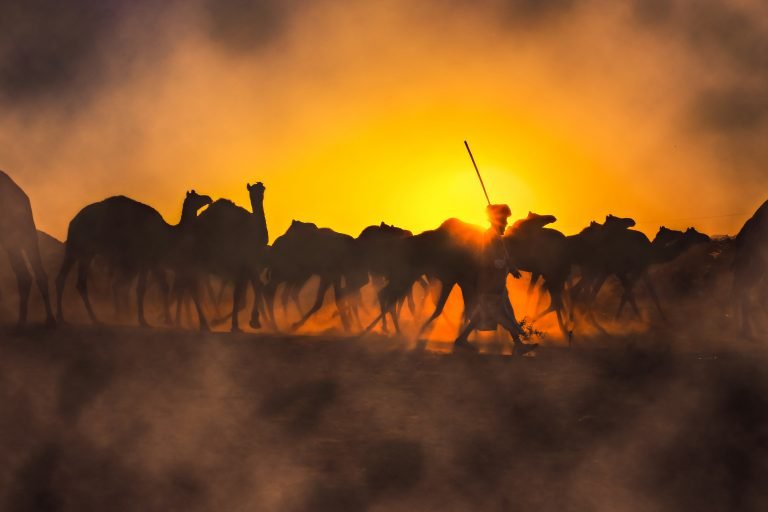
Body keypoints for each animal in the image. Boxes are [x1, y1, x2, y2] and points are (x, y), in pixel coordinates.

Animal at [56, 190, 213, 326]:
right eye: (196, 196)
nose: (209, 198)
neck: (167, 233)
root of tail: (72, 222)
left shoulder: (152, 262)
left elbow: (162, 286)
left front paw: (166, 320)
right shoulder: (145, 259)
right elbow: (141, 289)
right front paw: (143, 321)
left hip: (82, 252)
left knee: (74, 281)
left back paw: (81, 318)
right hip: (80, 248)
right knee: (75, 280)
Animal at [172, 182, 268, 334]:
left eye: (262, 188)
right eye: (253, 189)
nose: (258, 195)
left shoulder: (248, 265)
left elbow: (252, 289)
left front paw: (252, 322)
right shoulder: (244, 263)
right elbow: (241, 294)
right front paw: (237, 325)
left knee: (188, 289)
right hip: (194, 263)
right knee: (190, 289)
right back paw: (202, 324)